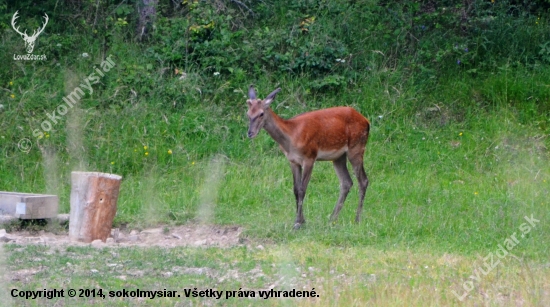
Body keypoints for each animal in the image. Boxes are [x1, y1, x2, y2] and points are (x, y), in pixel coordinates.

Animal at [248, 85, 374, 230]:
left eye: (261, 113)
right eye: (248, 114)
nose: (250, 133)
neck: (291, 137)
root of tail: (367, 121)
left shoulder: (309, 157)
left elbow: (302, 189)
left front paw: (298, 222)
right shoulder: (293, 161)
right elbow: (296, 189)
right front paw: (301, 221)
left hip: (357, 147)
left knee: (363, 180)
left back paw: (357, 219)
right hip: (338, 156)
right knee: (346, 182)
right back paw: (332, 218)